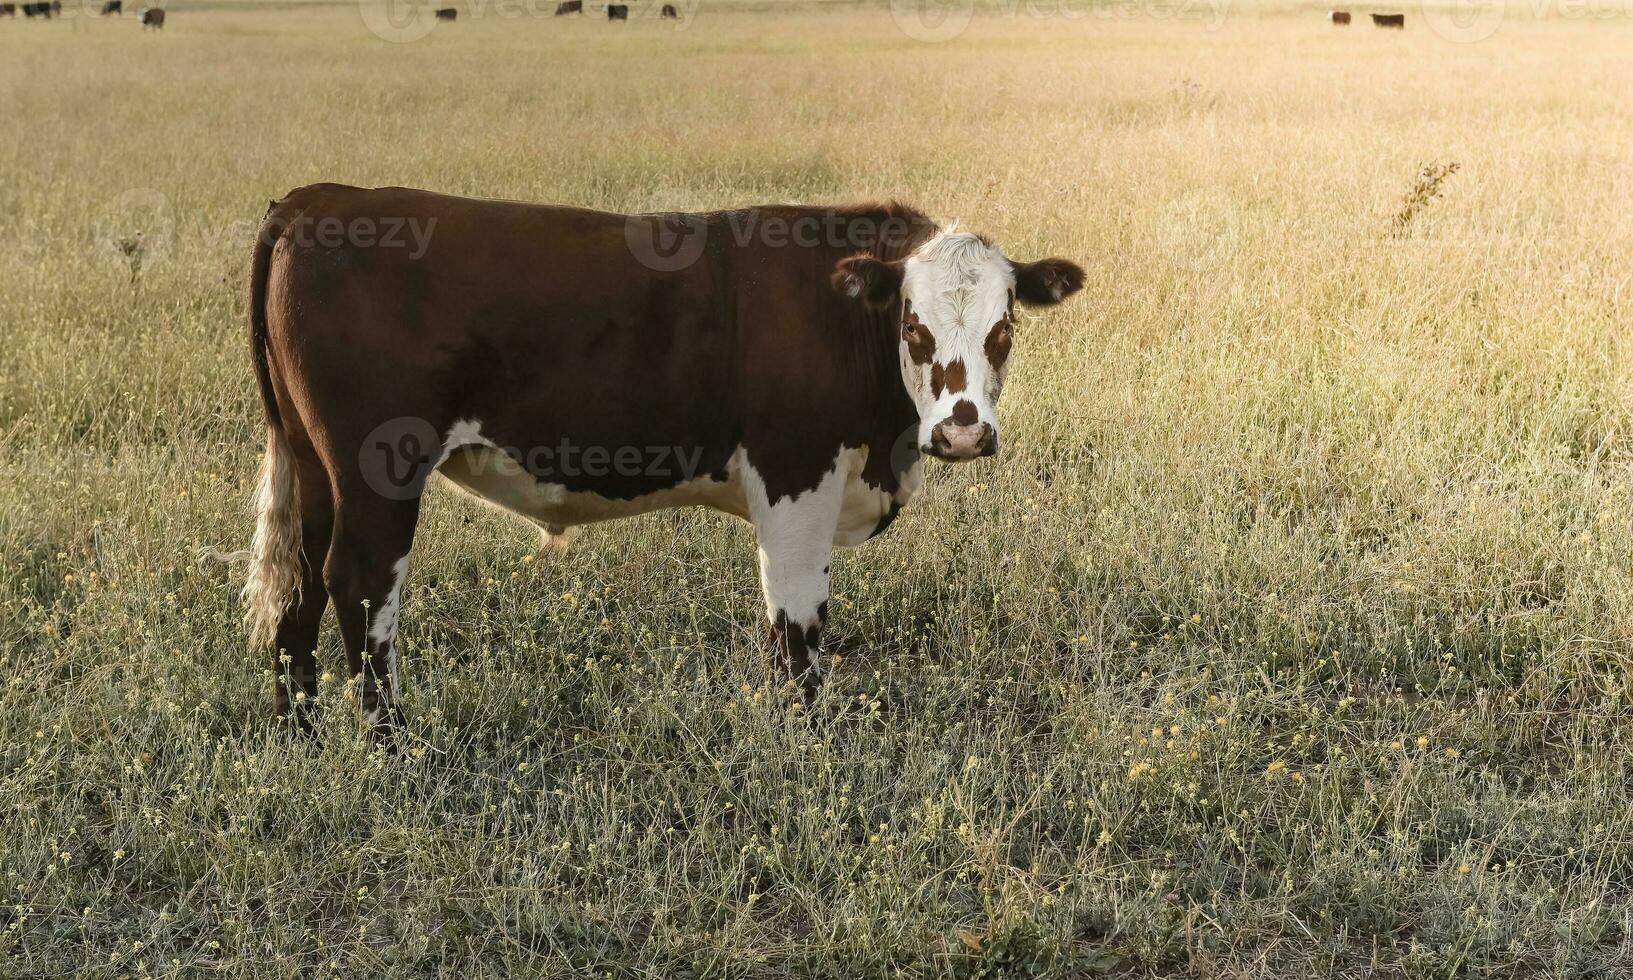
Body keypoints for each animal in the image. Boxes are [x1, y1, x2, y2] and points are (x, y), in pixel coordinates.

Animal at [238, 185, 1084, 735]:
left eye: (1004, 325)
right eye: (912, 324)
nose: (964, 433)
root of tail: (322, 197)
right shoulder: (794, 474)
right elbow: (796, 626)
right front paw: (802, 743)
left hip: (315, 464)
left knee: (302, 580)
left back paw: (298, 732)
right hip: (378, 466)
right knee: (360, 584)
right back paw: (392, 745)